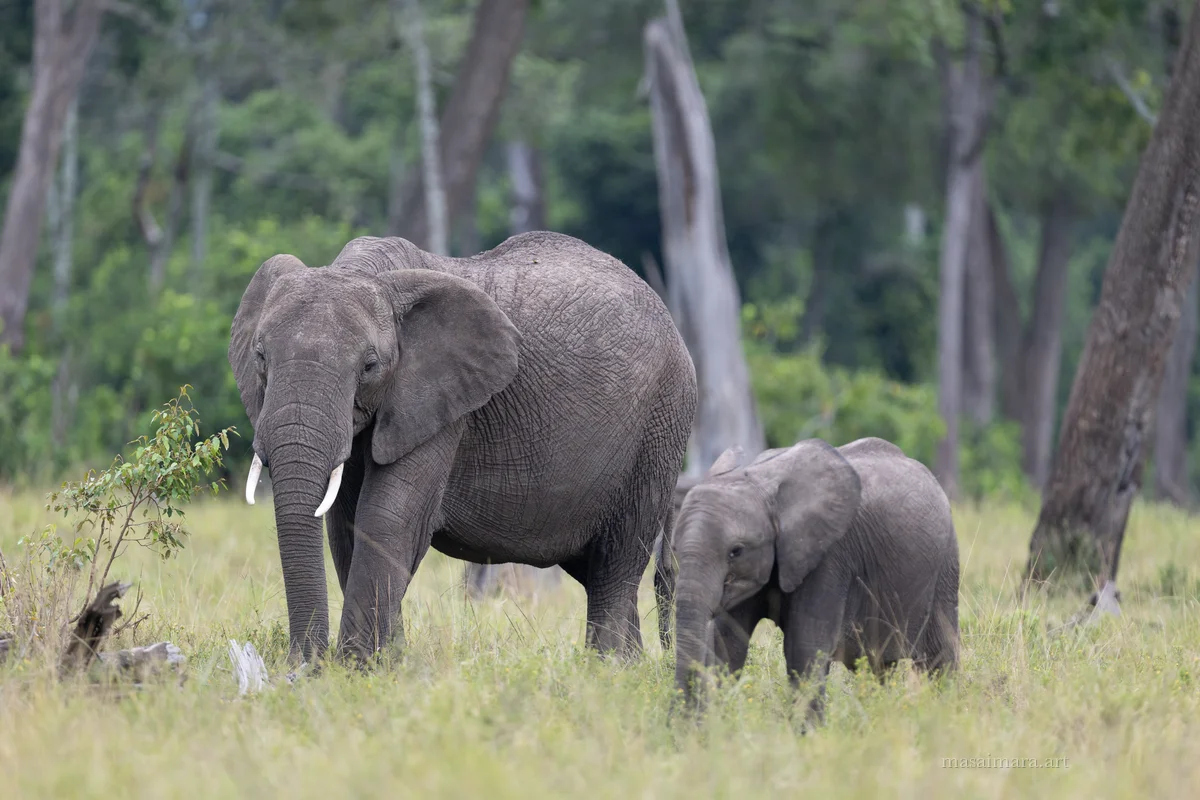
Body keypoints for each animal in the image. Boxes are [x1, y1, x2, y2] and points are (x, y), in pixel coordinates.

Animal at [229, 232, 697, 664]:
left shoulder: (443, 405)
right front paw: (388, 663)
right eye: (260, 356)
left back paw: (608, 670)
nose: (303, 666)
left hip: (660, 426)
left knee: (616, 564)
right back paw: (629, 668)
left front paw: (357, 670)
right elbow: (344, 524)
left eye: (369, 366)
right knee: (596, 569)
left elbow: (386, 518)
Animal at [671, 436, 960, 718]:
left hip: (945, 566)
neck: (758, 480)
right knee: (877, 667)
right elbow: (726, 644)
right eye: (674, 548)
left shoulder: (830, 554)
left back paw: (946, 711)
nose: (680, 723)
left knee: (939, 657)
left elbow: (805, 646)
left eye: (736, 551)